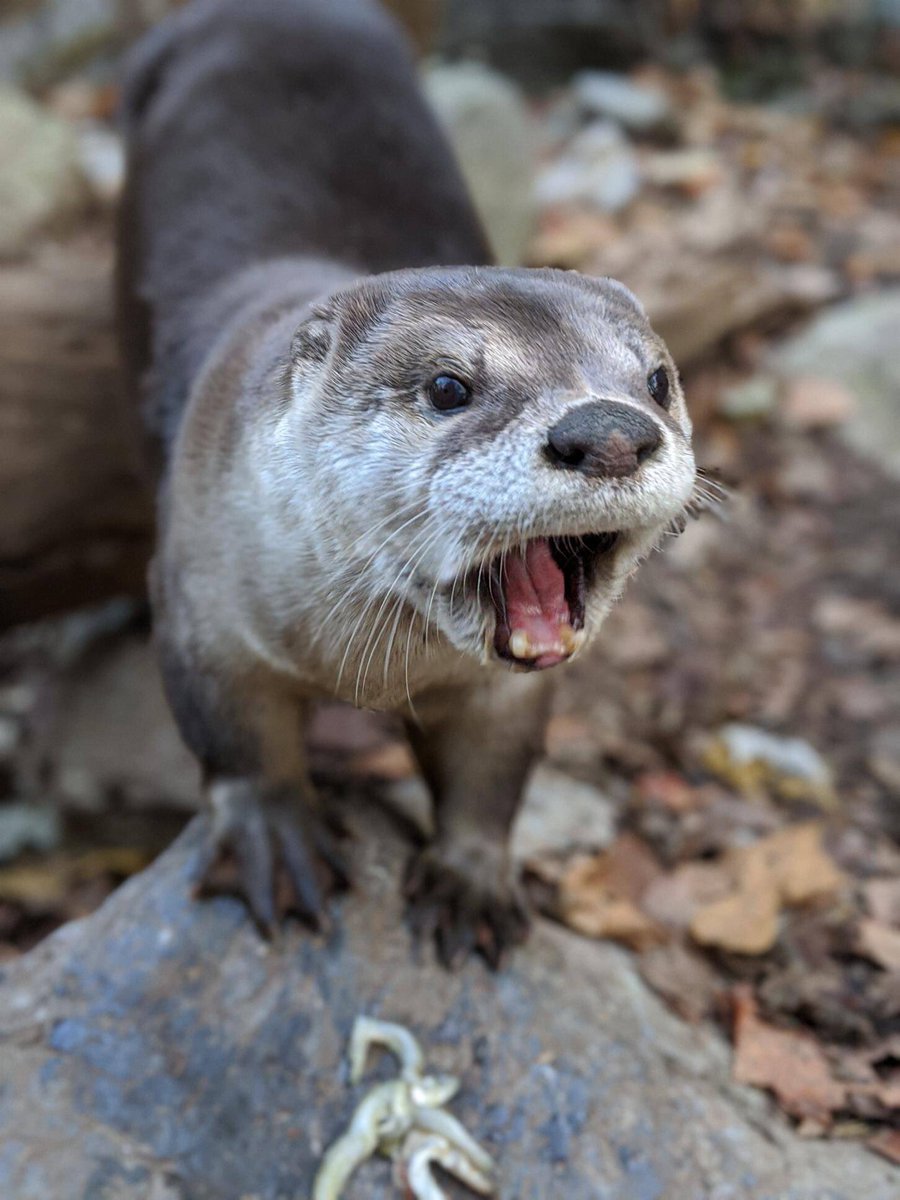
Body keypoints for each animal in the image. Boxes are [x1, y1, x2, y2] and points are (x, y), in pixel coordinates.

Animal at [118, 0, 696, 964]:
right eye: (449, 387)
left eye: (655, 380)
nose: (610, 432)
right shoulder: (199, 605)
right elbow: (236, 742)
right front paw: (276, 837)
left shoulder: (509, 691)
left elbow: (493, 772)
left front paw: (470, 878)